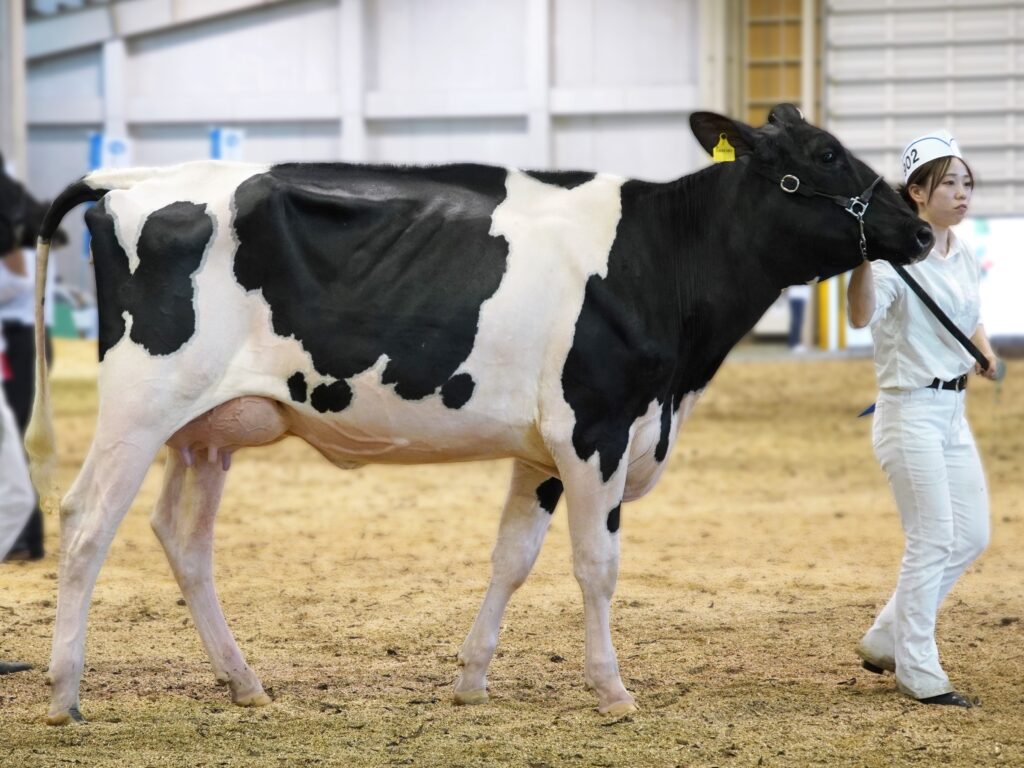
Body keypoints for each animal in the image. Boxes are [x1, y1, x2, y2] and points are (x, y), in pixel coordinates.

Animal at [25, 105, 937, 724]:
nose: (922, 229)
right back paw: (66, 693)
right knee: (85, 522)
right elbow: (596, 566)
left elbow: (513, 558)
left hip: (205, 430)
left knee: (183, 538)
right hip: (140, 404)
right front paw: (612, 690)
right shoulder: (595, 430)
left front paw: (471, 677)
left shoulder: (542, 452)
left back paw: (244, 680)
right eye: (823, 154)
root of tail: (132, 181)